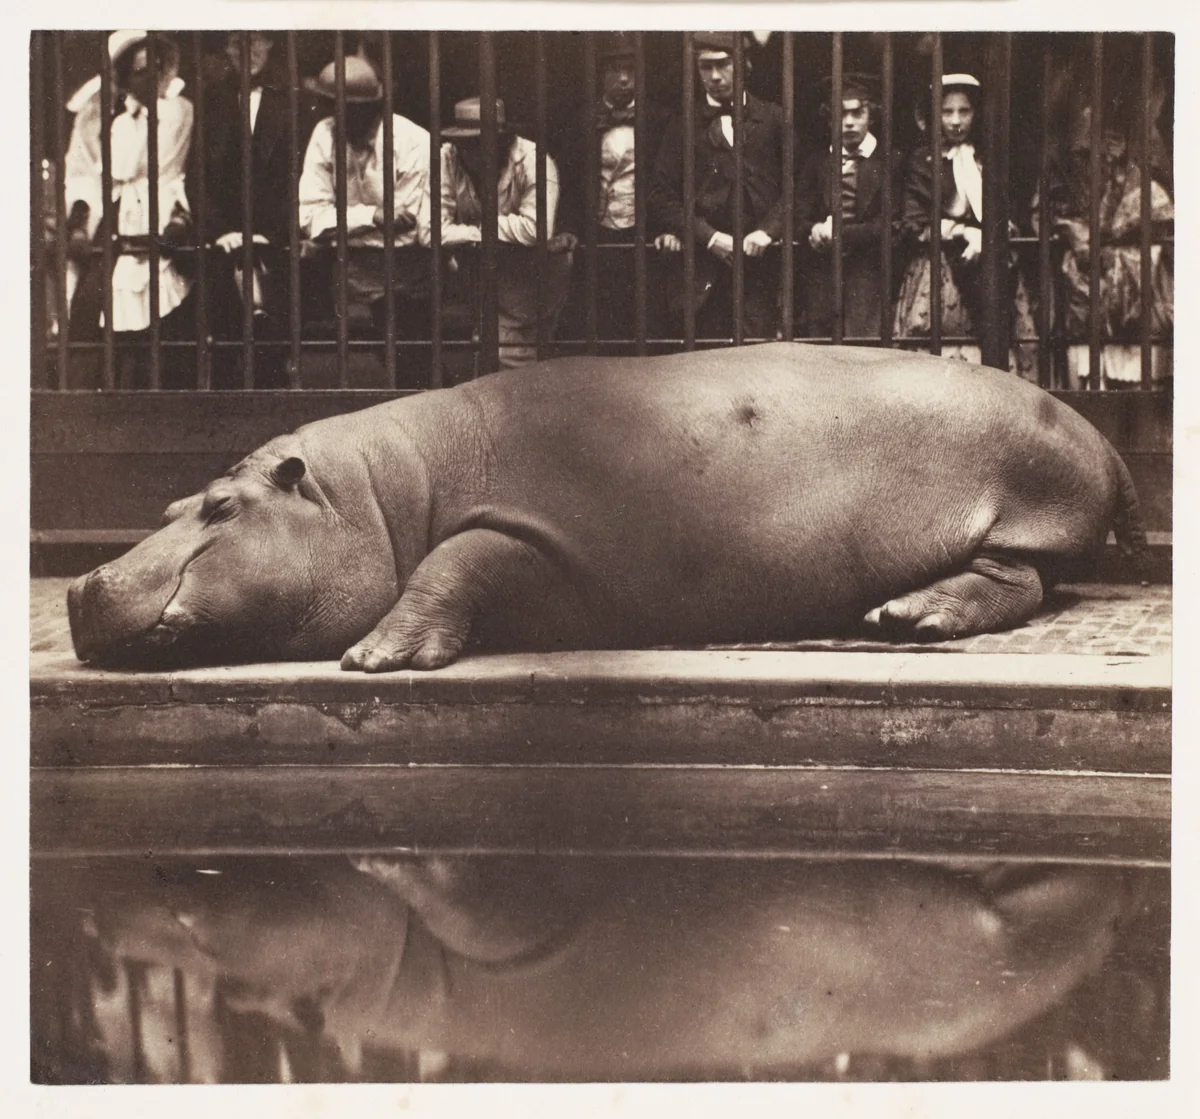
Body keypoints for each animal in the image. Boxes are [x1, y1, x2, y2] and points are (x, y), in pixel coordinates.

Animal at [68, 343, 1145, 670]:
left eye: (219, 506)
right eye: (171, 498)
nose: (79, 584)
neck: (378, 494)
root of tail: (1102, 438)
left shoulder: (521, 528)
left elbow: (451, 563)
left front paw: (376, 656)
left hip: (1021, 511)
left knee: (1021, 580)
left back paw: (909, 617)